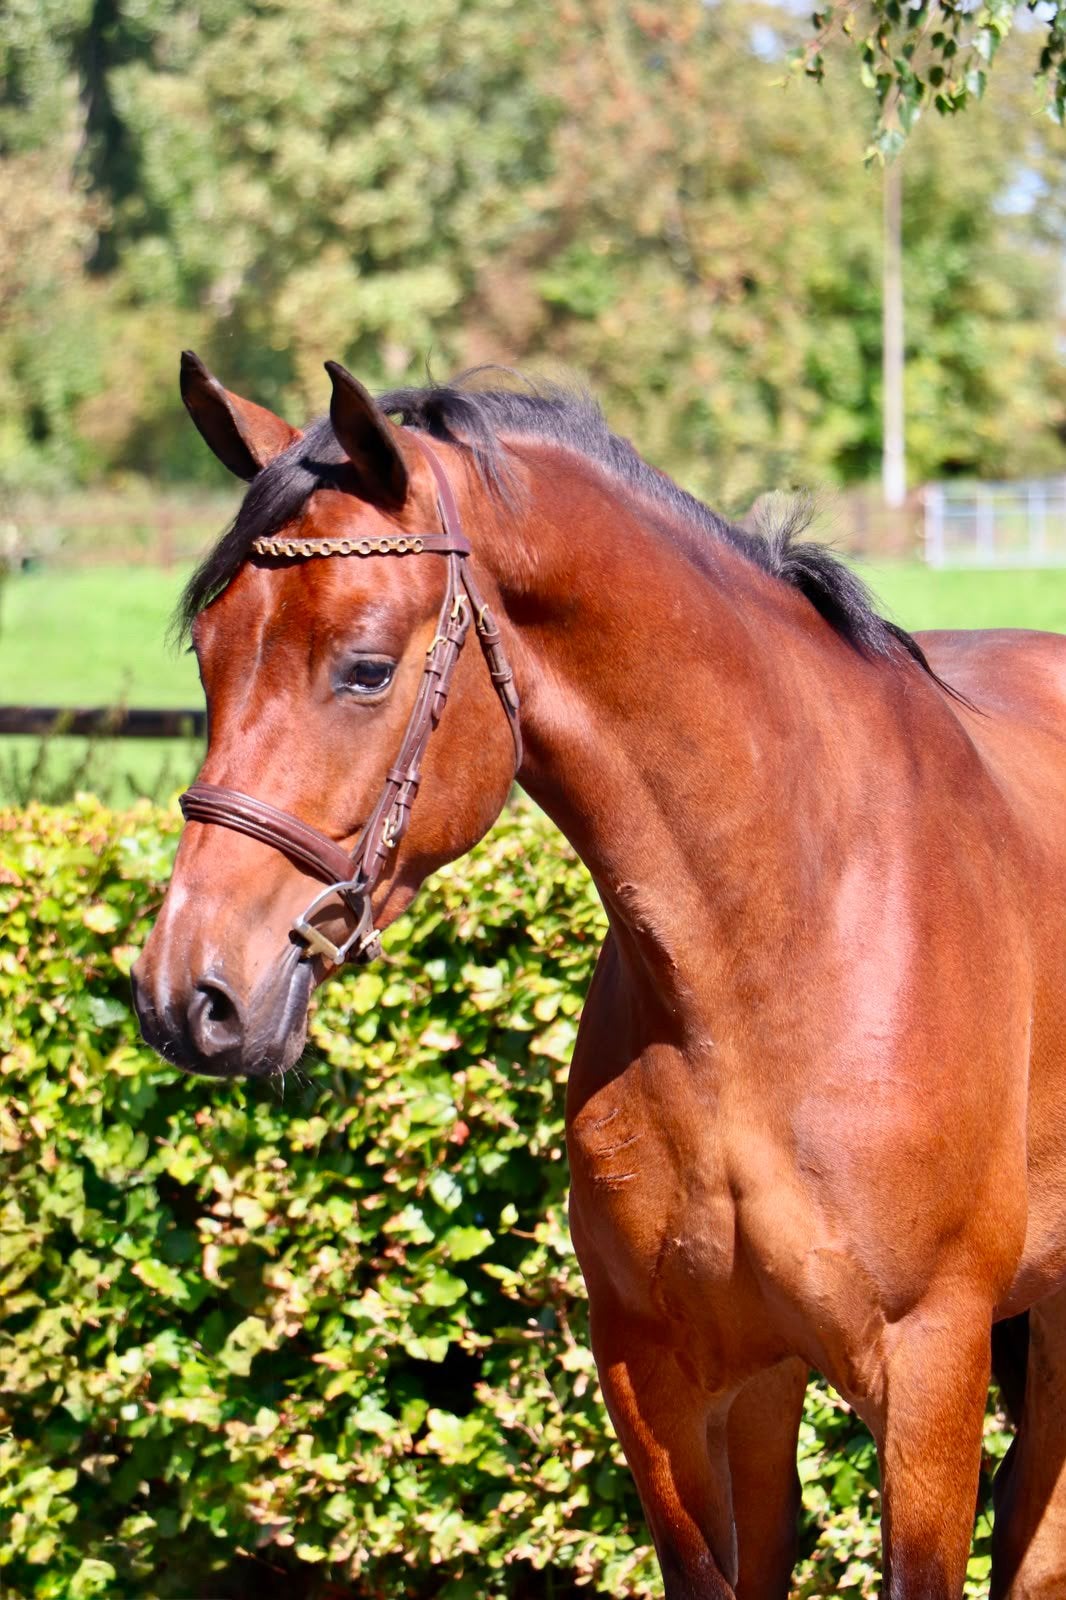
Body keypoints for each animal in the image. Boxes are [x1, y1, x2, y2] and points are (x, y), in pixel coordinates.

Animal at [133, 351, 1066, 1600]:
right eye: (210, 654)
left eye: (365, 669)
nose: (188, 994)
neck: (779, 939)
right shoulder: (660, 1375)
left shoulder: (929, 1369)